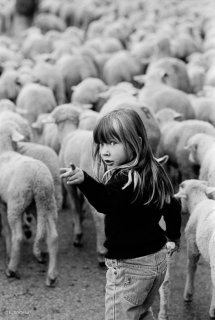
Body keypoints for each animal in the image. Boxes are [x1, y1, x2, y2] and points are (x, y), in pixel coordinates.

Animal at [0, 123, 58, 288]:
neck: (4, 150)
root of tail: (39, 179)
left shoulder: (3, 203)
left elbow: (6, 229)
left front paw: (8, 252)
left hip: (17, 201)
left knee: (18, 236)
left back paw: (11, 269)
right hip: (47, 203)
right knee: (53, 237)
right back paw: (51, 276)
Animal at [174, 179, 215, 318]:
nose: (180, 209)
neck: (198, 202)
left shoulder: (192, 242)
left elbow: (191, 266)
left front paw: (188, 295)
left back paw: (212, 311)